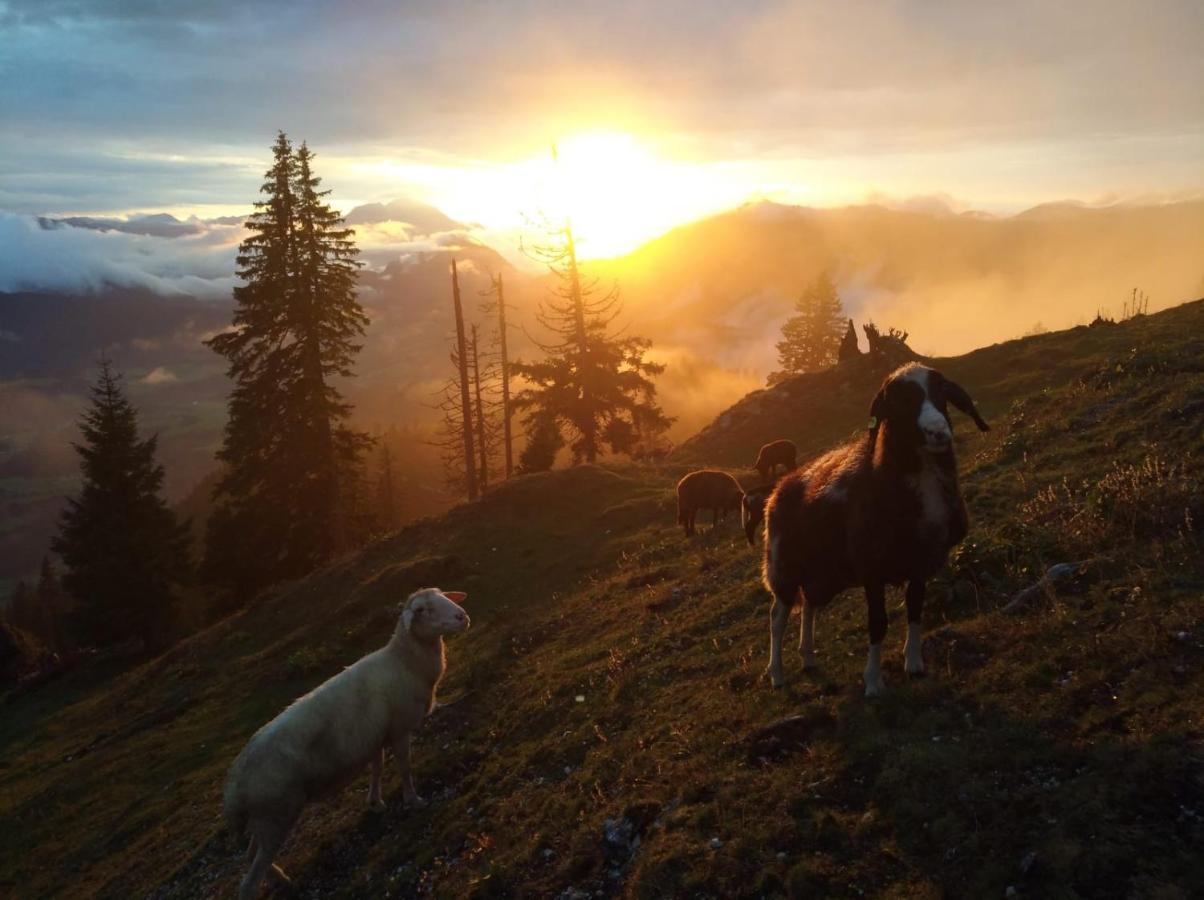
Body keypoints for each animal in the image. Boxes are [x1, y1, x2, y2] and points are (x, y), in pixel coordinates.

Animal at [223, 587, 467, 895]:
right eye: (423, 610)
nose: (462, 617)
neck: (403, 663)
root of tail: (232, 791)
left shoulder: (375, 736)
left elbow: (378, 769)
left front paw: (375, 803)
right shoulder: (399, 730)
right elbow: (404, 768)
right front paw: (413, 800)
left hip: (264, 819)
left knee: (251, 854)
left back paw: (282, 878)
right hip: (275, 816)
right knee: (249, 881)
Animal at [760, 360, 987, 693]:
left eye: (942, 391)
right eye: (899, 401)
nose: (938, 432)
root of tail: (778, 490)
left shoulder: (920, 561)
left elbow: (915, 609)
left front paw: (914, 663)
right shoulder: (871, 570)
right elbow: (877, 623)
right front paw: (873, 681)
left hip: (821, 572)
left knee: (809, 607)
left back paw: (808, 657)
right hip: (783, 567)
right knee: (777, 618)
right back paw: (776, 674)